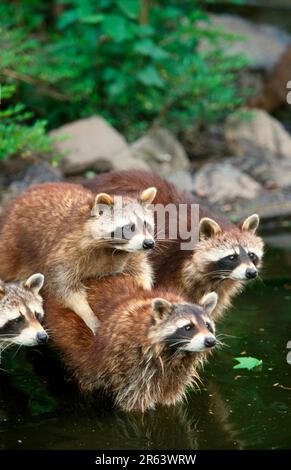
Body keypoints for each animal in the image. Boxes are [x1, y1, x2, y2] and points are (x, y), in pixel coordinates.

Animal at [0, 182, 157, 332]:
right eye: (129, 227)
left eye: (146, 224)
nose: (149, 244)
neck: (115, 250)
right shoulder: (66, 252)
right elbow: (64, 287)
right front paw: (87, 313)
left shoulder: (133, 255)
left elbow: (142, 272)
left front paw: (145, 293)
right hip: (11, 248)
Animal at [44, 276, 218, 412]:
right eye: (188, 327)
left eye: (208, 325)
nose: (210, 341)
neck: (176, 353)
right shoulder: (130, 361)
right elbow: (135, 401)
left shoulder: (177, 373)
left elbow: (170, 396)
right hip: (72, 337)